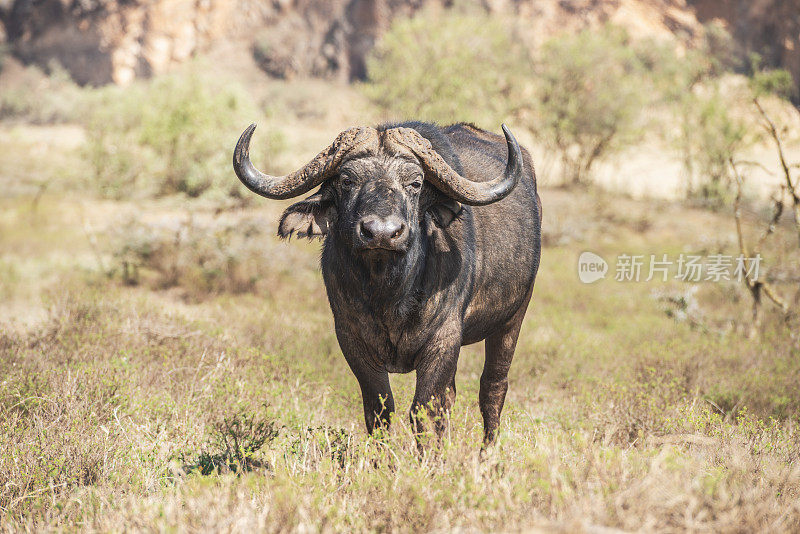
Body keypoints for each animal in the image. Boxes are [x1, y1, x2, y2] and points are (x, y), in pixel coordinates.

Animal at [233, 122, 544, 448]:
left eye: (416, 183)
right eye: (347, 180)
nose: (381, 233)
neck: (389, 293)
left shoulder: (443, 340)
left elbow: (425, 412)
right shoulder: (352, 340)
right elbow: (380, 410)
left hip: (512, 319)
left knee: (493, 388)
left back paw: (487, 454)